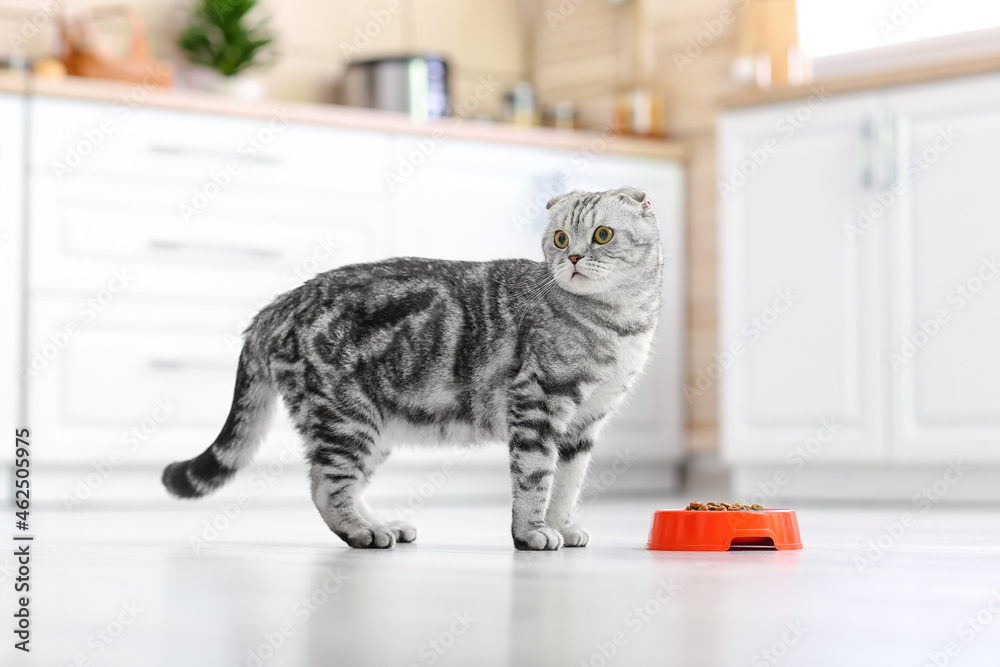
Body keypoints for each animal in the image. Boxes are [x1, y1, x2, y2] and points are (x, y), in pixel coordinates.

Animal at [162, 187, 664, 548]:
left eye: (602, 235)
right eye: (560, 239)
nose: (573, 257)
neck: (621, 325)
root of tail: (275, 307)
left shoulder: (584, 424)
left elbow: (568, 483)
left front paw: (561, 524)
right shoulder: (538, 404)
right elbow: (535, 477)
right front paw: (532, 532)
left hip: (374, 429)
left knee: (340, 484)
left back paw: (382, 524)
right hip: (346, 417)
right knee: (326, 488)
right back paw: (363, 532)